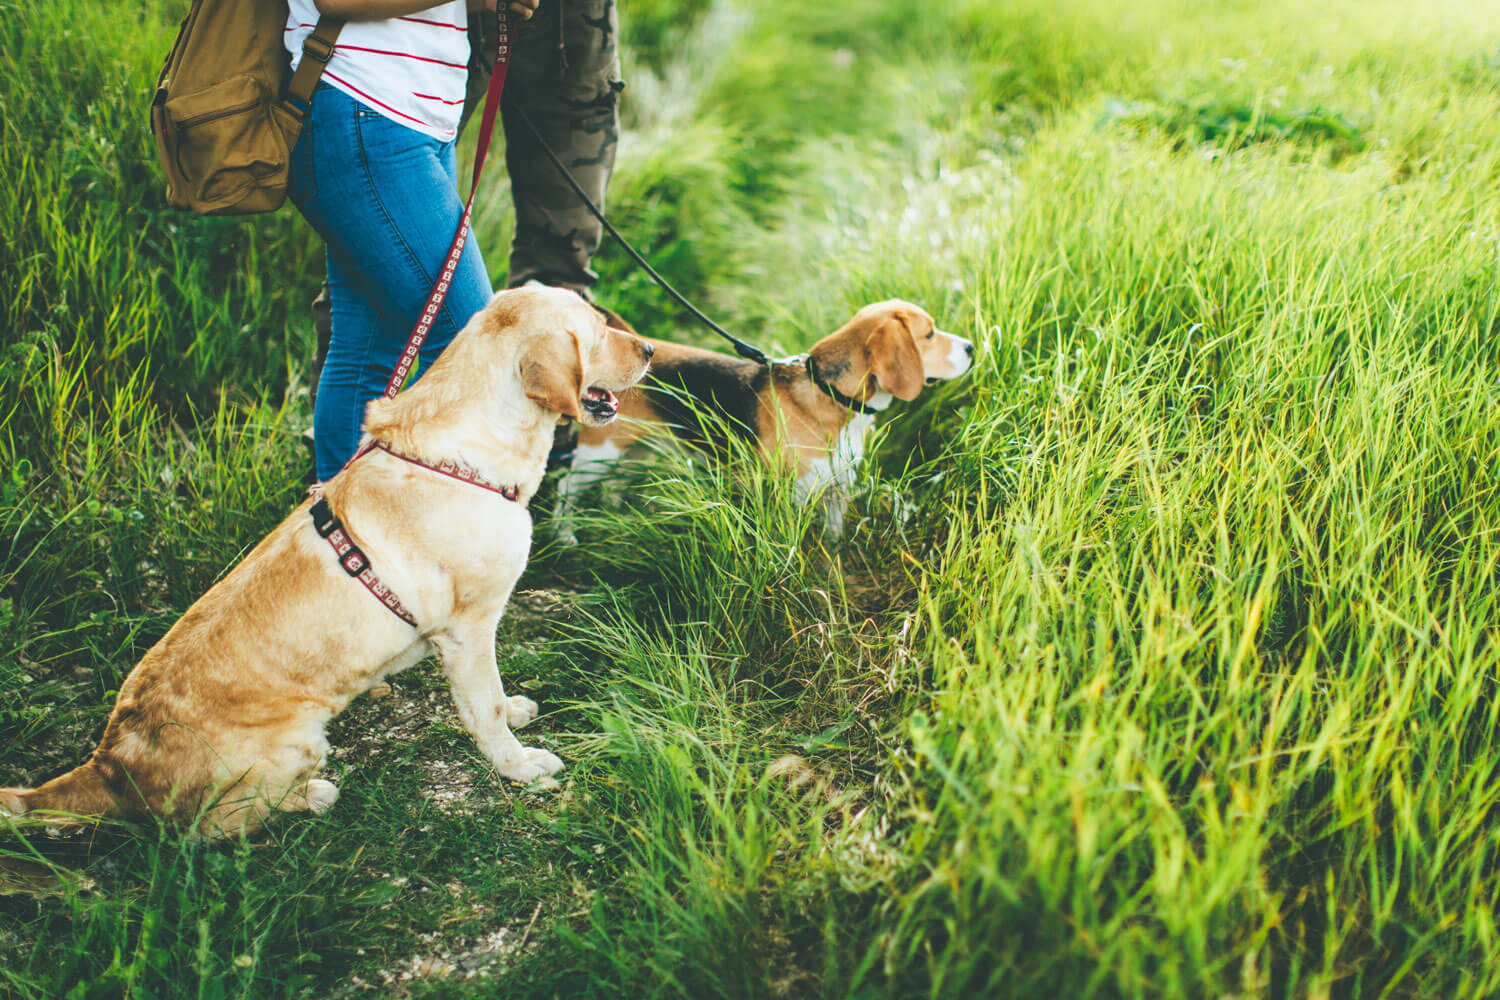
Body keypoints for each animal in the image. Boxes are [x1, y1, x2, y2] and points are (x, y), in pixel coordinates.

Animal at [2, 287, 654, 839]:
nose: (650, 349)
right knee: (213, 828)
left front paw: (517, 715)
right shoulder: (468, 631)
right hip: (295, 745)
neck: (463, 455)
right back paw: (312, 795)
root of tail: (110, 762)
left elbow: (493, 701)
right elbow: (485, 707)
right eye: (595, 329)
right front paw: (519, 766)